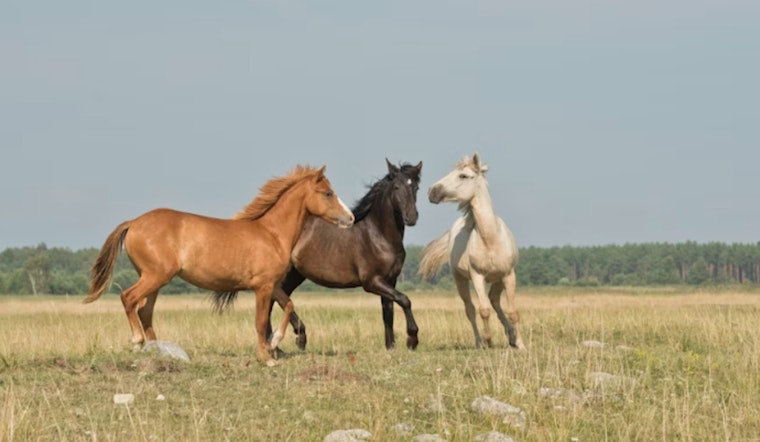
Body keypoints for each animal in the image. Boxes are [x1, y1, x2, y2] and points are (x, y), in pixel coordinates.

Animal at [84, 165, 355, 365]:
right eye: (327, 193)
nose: (350, 218)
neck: (272, 234)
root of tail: (133, 222)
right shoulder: (262, 287)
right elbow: (260, 321)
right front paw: (266, 357)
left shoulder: (273, 285)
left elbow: (288, 305)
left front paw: (275, 343)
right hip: (155, 276)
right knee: (129, 299)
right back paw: (137, 342)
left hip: (154, 280)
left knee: (144, 311)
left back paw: (157, 349)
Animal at [268, 159, 422, 350]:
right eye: (396, 187)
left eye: (416, 187)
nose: (411, 217)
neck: (378, 235)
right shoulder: (372, 281)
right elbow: (404, 299)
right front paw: (412, 339)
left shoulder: (390, 280)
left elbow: (388, 312)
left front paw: (390, 347)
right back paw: (286, 340)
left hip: (294, 275)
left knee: (279, 298)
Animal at [418, 154, 524, 350]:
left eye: (463, 176)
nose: (432, 191)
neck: (490, 239)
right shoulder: (477, 276)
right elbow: (483, 310)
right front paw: (488, 341)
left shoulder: (508, 275)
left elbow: (513, 311)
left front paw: (520, 344)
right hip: (460, 280)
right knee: (471, 309)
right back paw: (479, 342)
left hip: (498, 279)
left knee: (494, 300)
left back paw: (511, 336)